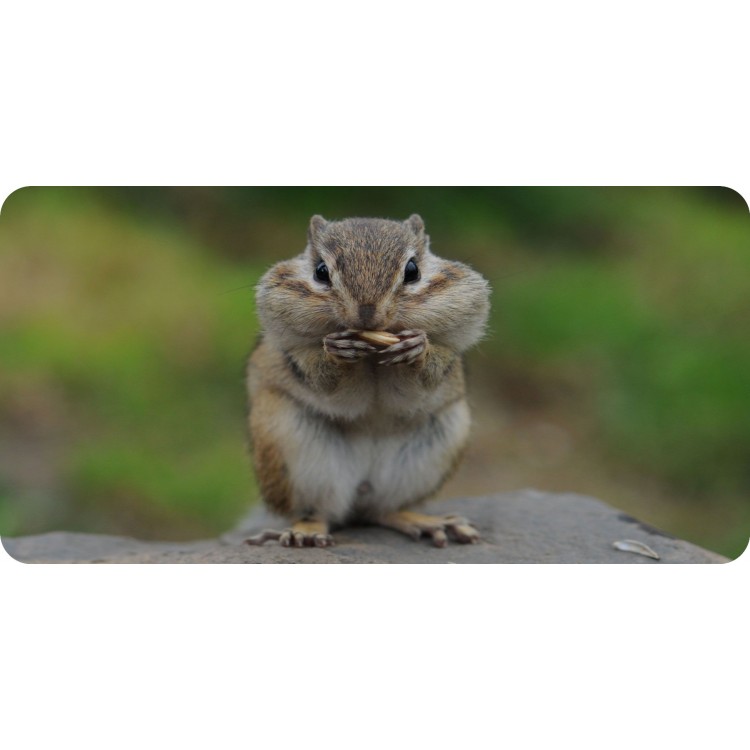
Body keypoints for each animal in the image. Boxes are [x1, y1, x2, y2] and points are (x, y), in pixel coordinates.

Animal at [244, 214, 490, 548]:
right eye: (321, 272)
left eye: (412, 271)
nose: (366, 315)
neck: (372, 355)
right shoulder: (296, 356)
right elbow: (325, 380)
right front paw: (337, 352)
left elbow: (426, 377)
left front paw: (417, 349)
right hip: (289, 448)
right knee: (319, 510)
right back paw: (305, 531)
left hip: (437, 445)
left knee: (385, 510)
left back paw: (427, 522)